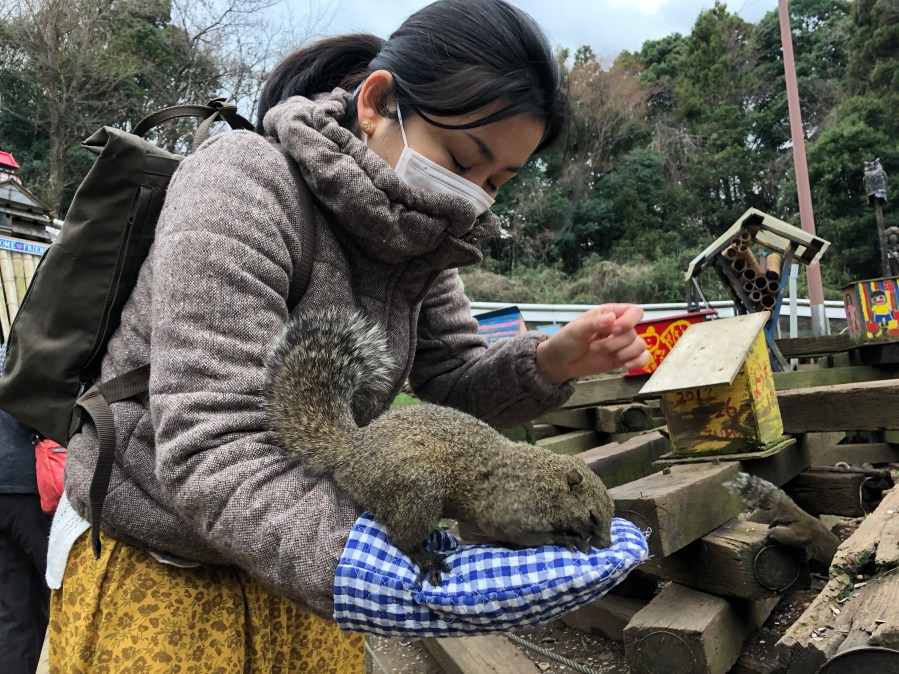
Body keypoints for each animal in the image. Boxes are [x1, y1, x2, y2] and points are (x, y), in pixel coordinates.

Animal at [263, 306, 614, 585]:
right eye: (593, 516)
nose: (607, 544)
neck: (541, 481)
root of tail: (352, 450)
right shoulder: (508, 510)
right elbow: (523, 535)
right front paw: (566, 538)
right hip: (419, 488)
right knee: (402, 538)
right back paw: (426, 557)